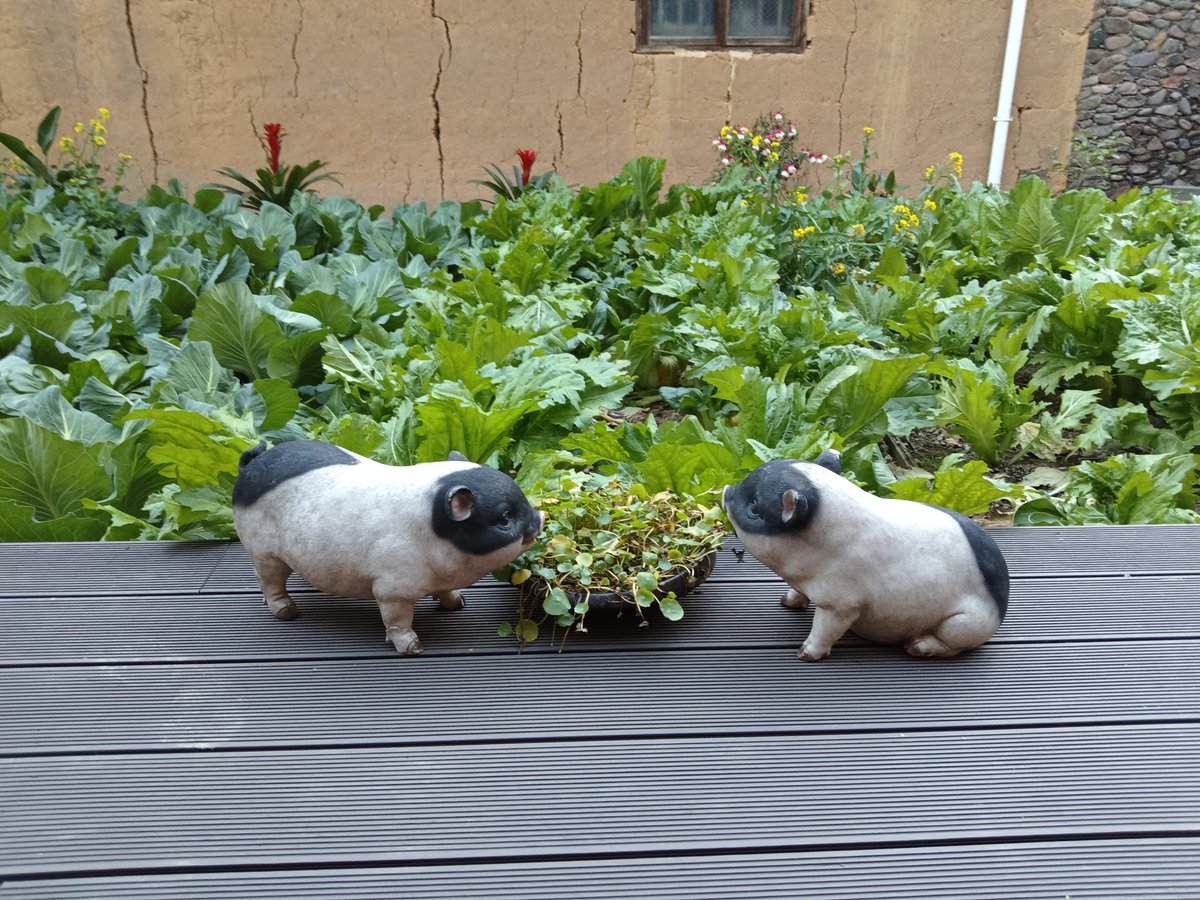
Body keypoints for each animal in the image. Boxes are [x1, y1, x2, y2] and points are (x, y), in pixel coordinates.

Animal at [232, 440, 544, 655]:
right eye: (504, 518)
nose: (540, 517)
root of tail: (250, 465)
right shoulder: (392, 588)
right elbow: (397, 619)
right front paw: (414, 649)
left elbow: (446, 594)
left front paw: (459, 604)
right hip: (262, 550)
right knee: (269, 580)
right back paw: (288, 612)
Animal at [722, 451, 1009, 661]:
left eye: (755, 508)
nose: (726, 490)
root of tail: (1001, 609)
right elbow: (798, 593)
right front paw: (786, 601)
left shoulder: (841, 604)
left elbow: (825, 630)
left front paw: (804, 655)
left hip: (963, 623)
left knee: (953, 646)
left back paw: (916, 647)